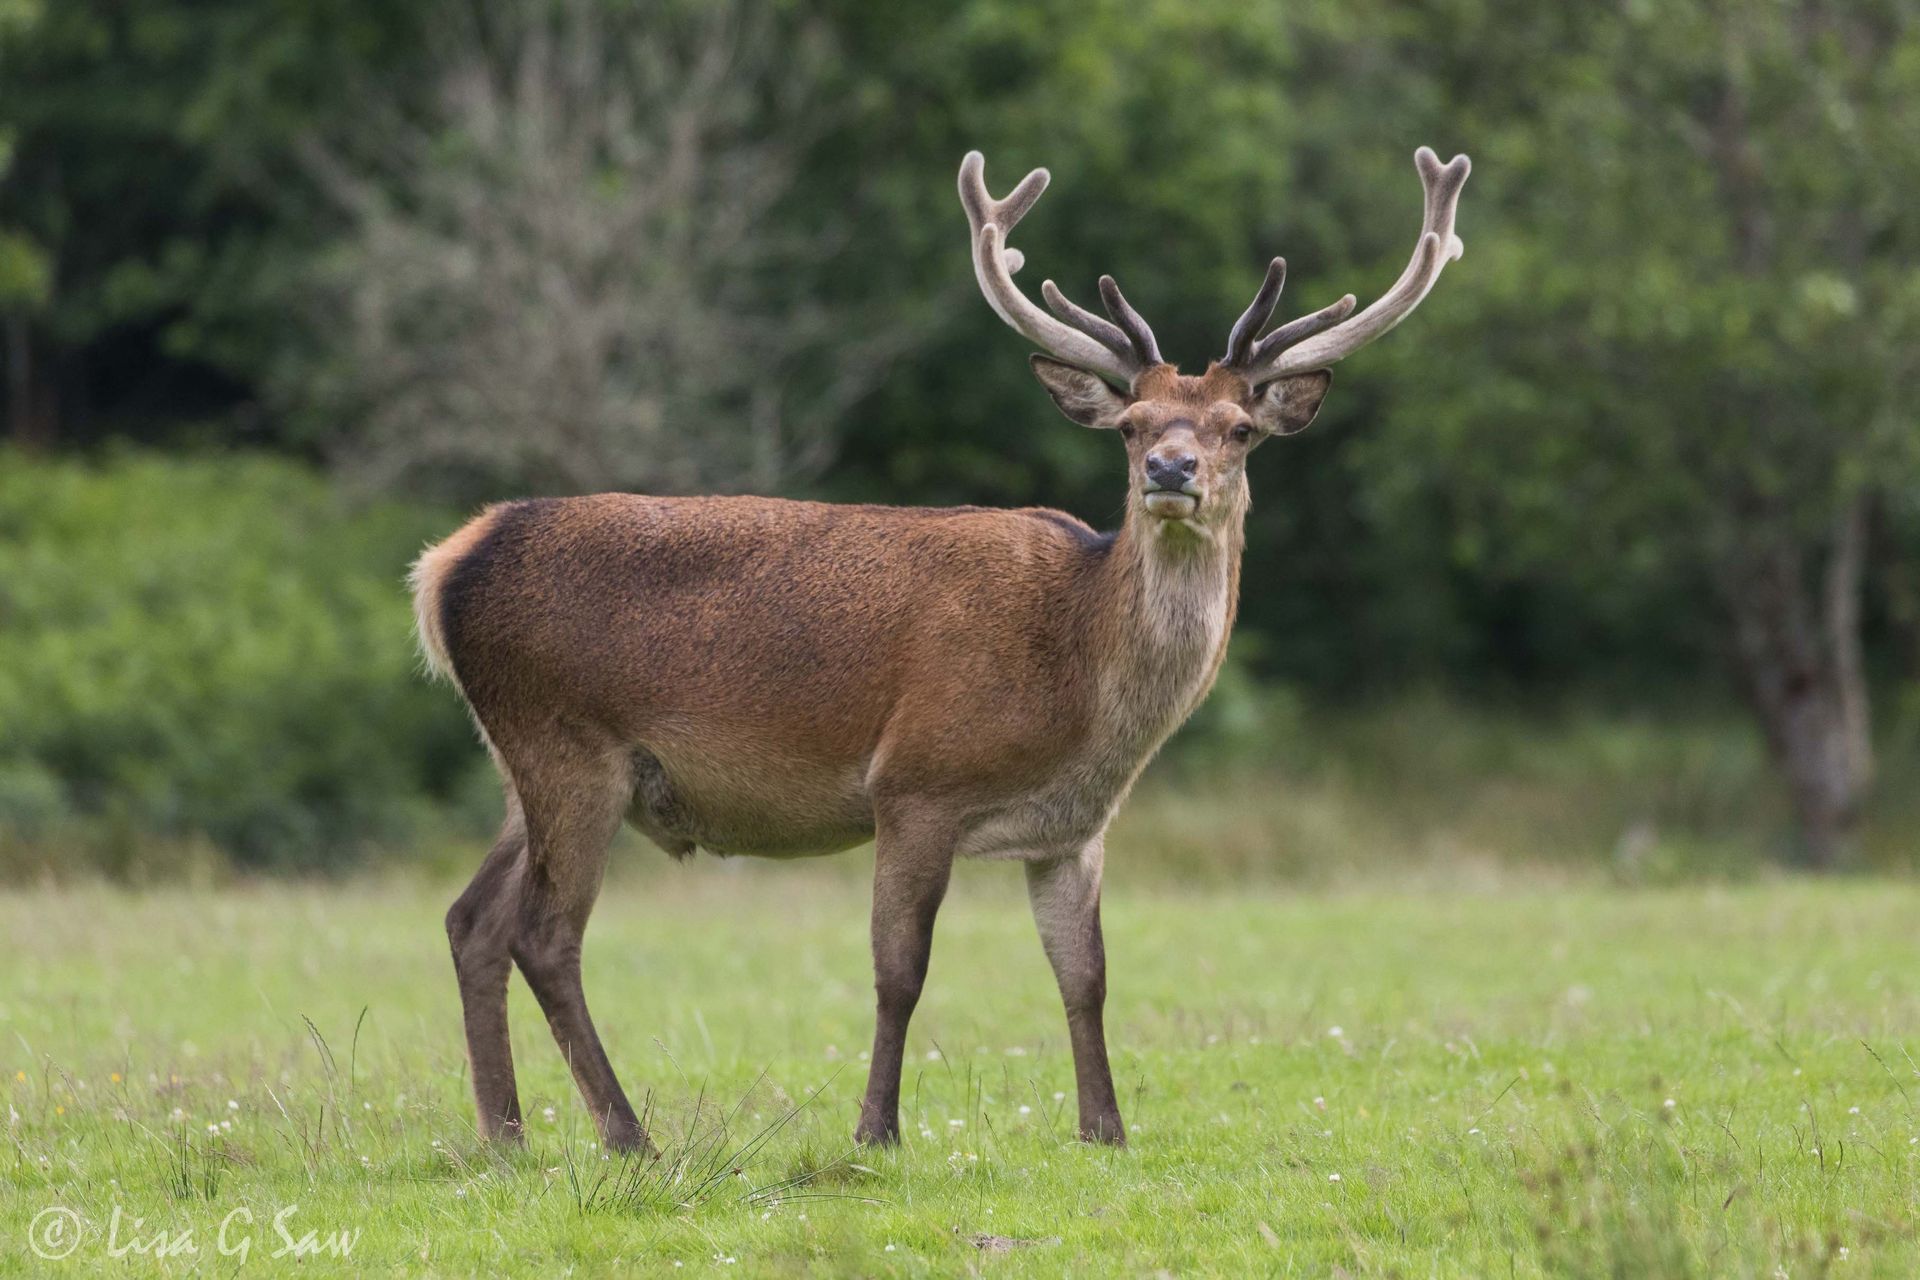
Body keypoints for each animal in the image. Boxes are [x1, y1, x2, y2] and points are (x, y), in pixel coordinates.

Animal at [411, 145, 1469, 1152]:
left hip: (526, 764)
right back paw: (626, 1134)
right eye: (1131, 427)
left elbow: (1086, 977)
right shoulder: (916, 782)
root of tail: (443, 566)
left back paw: (504, 1135)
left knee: (472, 919)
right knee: (543, 934)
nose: (1172, 470)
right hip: (567, 743)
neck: (1077, 677)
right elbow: (900, 970)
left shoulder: (1075, 829)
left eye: (1240, 429)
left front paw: (1105, 1129)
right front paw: (877, 1128)